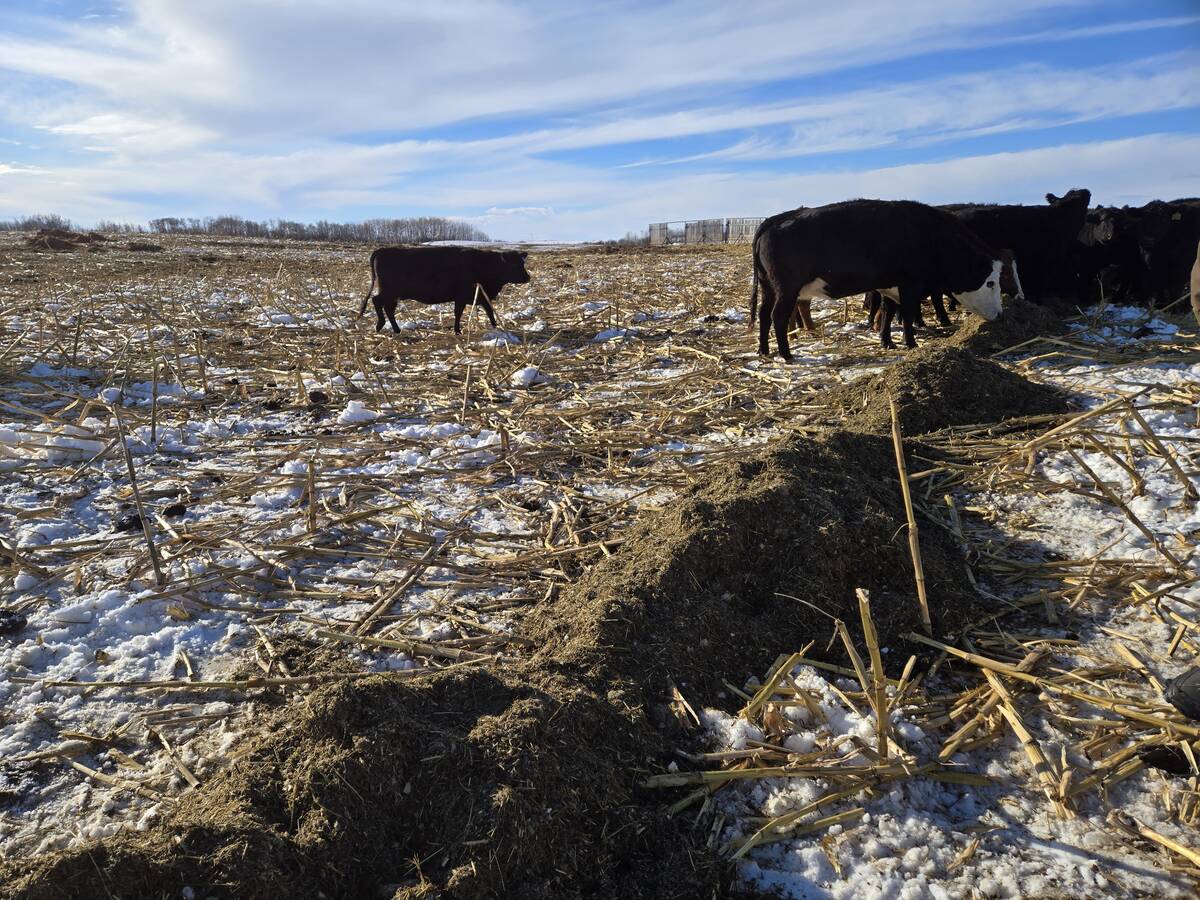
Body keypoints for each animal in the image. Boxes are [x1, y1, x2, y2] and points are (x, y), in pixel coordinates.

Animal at [359, 246, 531, 334]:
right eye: (514, 264)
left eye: (522, 262)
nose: (527, 277)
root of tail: (382, 250)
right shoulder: (462, 296)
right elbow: (458, 313)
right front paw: (457, 331)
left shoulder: (480, 295)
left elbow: (489, 310)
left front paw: (496, 327)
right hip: (389, 291)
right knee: (376, 301)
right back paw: (380, 325)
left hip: (394, 295)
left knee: (388, 308)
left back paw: (396, 329)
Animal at [749, 200, 1008, 359]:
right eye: (990, 282)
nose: (1000, 315)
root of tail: (775, 220)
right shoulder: (909, 285)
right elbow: (907, 314)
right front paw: (911, 343)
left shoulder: (890, 286)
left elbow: (888, 312)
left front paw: (887, 342)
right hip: (786, 288)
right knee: (777, 316)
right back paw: (786, 354)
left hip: (769, 286)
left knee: (763, 314)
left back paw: (764, 350)